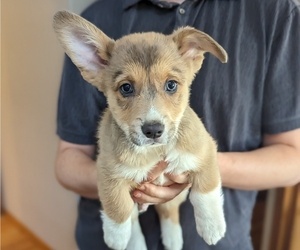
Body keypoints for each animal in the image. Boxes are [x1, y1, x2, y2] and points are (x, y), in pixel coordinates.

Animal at [53, 10, 227, 250]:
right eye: (126, 88)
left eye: (171, 85)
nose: (153, 130)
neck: (154, 151)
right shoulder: (108, 171)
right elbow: (118, 207)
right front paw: (116, 237)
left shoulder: (205, 149)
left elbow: (206, 190)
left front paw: (212, 226)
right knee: (134, 218)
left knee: (168, 210)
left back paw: (173, 240)